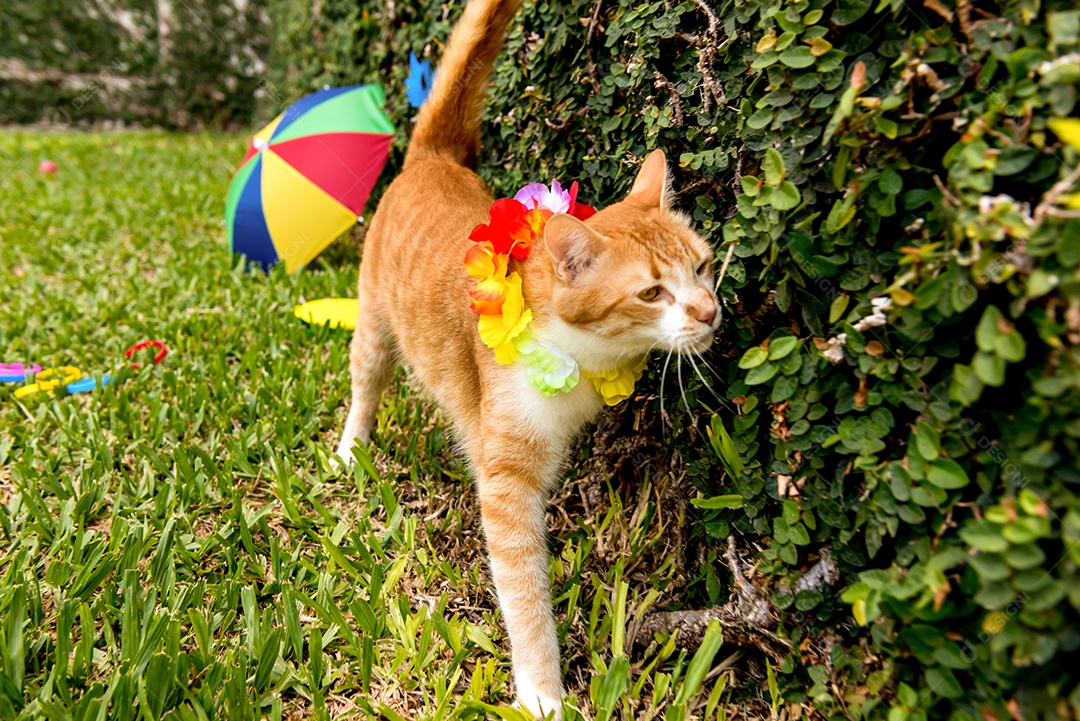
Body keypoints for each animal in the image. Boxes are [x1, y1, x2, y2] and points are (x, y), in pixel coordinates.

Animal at [334, 0, 725, 716]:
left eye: (703, 267)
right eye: (652, 293)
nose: (709, 313)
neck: (574, 352)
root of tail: (433, 158)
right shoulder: (508, 482)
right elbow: (525, 597)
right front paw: (543, 692)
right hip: (374, 323)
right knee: (366, 383)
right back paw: (353, 446)